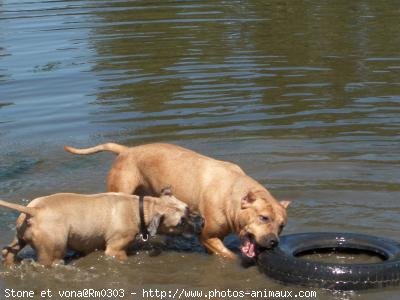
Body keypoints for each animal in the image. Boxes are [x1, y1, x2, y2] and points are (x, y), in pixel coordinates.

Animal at [0, 189, 203, 266]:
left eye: (188, 209)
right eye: (180, 222)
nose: (201, 221)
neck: (142, 208)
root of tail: (33, 210)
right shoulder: (115, 250)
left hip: (19, 239)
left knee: (9, 252)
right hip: (51, 252)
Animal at [65, 144, 290, 260]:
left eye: (282, 226)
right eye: (263, 218)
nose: (273, 242)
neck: (231, 194)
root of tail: (126, 150)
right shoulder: (208, 236)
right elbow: (229, 256)